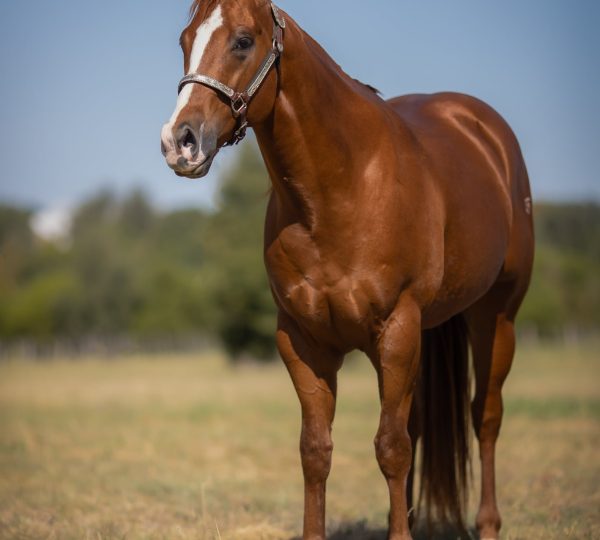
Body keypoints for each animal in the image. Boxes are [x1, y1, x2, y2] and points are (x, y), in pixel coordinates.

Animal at [159, 2, 536, 536]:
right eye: (185, 39)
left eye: (243, 41)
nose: (180, 141)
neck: (341, 188)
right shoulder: (303, 340)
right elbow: (316, 451)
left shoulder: (397, 328)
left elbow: (391, 448)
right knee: (418, 424)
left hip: (494, 317)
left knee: (485, 416)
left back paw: (487, 523)